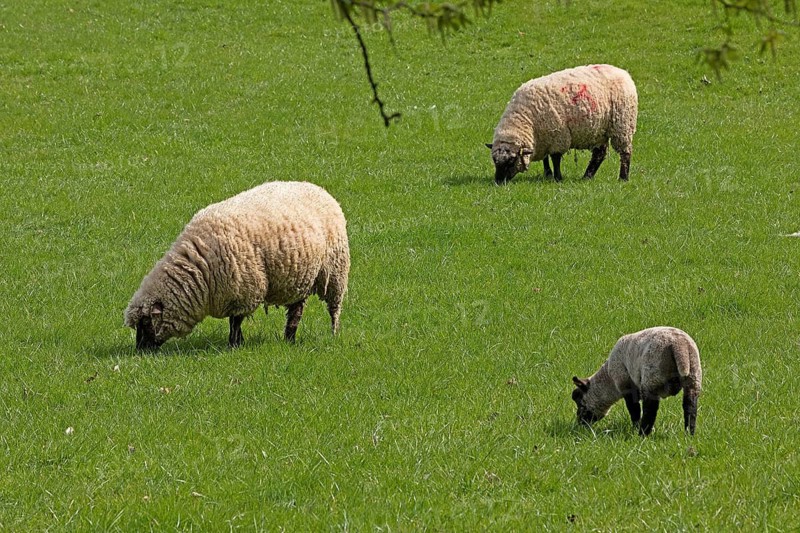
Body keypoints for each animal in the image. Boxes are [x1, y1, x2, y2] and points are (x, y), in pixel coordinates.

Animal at [124, 181, 350, 351]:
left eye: (146, 323)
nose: (140, 351)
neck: (198, 265)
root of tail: (319, 189)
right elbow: (235, 322)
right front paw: (238, 342)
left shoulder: (244, 291)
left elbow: (235, 322)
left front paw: (234, 345)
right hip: (301, 279)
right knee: (296, 311)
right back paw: (289, 338)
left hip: (335, 272)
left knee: (334, 309)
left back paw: (333, 334)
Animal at [486, 64, 638, 184]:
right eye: (494, 160)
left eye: (511, 161)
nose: (498, 181)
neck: (525, 118)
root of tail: (623, 72)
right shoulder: (544, 138)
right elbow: (545, 158)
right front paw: (548, 174)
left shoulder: (558, 136)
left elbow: (555, 158)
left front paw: (558, 178)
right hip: (599, 131)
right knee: (599, 154)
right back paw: (587, 177)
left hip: (622, 125)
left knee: (625, 152)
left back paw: (623, 178)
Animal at [571, 327, 702, 436]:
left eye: (580, 403)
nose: (580, 423)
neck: (609, 379)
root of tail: (679, 345)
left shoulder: (626, 385)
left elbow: (634, 409)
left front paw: (635, 428)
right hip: (694, 376)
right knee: (690, 407)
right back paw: (689, 434)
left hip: (652, 377)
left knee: (650, 409)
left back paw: (642, 434)